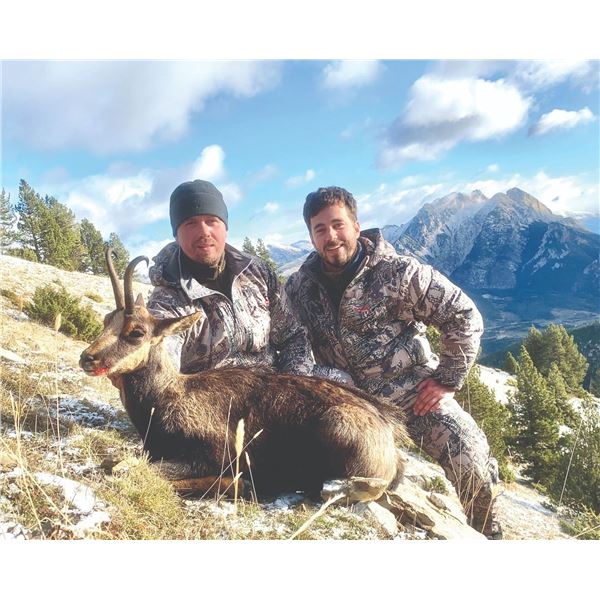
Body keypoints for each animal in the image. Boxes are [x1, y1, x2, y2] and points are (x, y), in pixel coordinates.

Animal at [79, 248, 409, 501]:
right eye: (106, 319)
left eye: (136, 332)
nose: (87, 358)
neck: (167, 398)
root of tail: (390, 441)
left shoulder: (216, 453)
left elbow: (126, 466)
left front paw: (243, 485)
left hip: (337, 430)